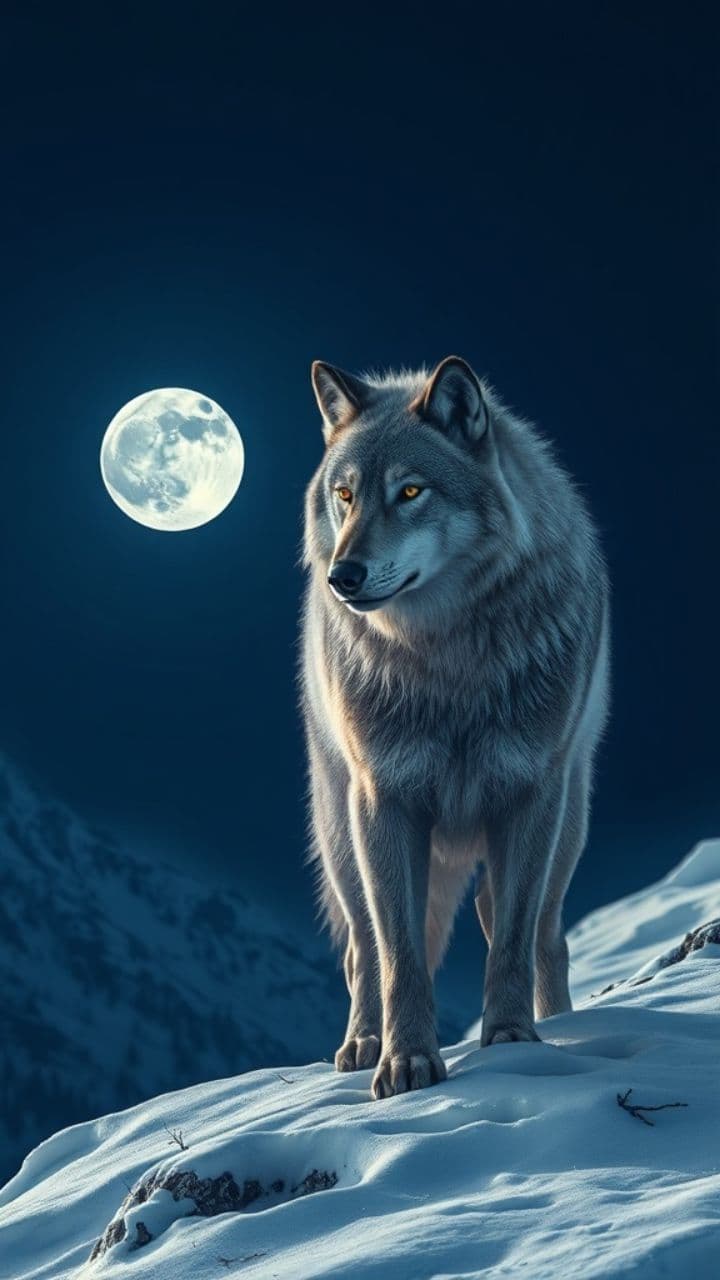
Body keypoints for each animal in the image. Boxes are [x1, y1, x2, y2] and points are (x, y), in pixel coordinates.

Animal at [300, 355, 610, 1099]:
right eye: (345, 496)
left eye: (410, 491)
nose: (343, 576)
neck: (449, 666)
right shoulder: (385, 801)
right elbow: (400, 955)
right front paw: (407, 1063)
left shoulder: (532, 795)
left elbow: (513, 944)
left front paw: (513, 1041)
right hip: (342, 835)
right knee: (361, 951)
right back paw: (361, 1045)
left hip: (567, 827)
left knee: (541, 933)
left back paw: (558, 1022)